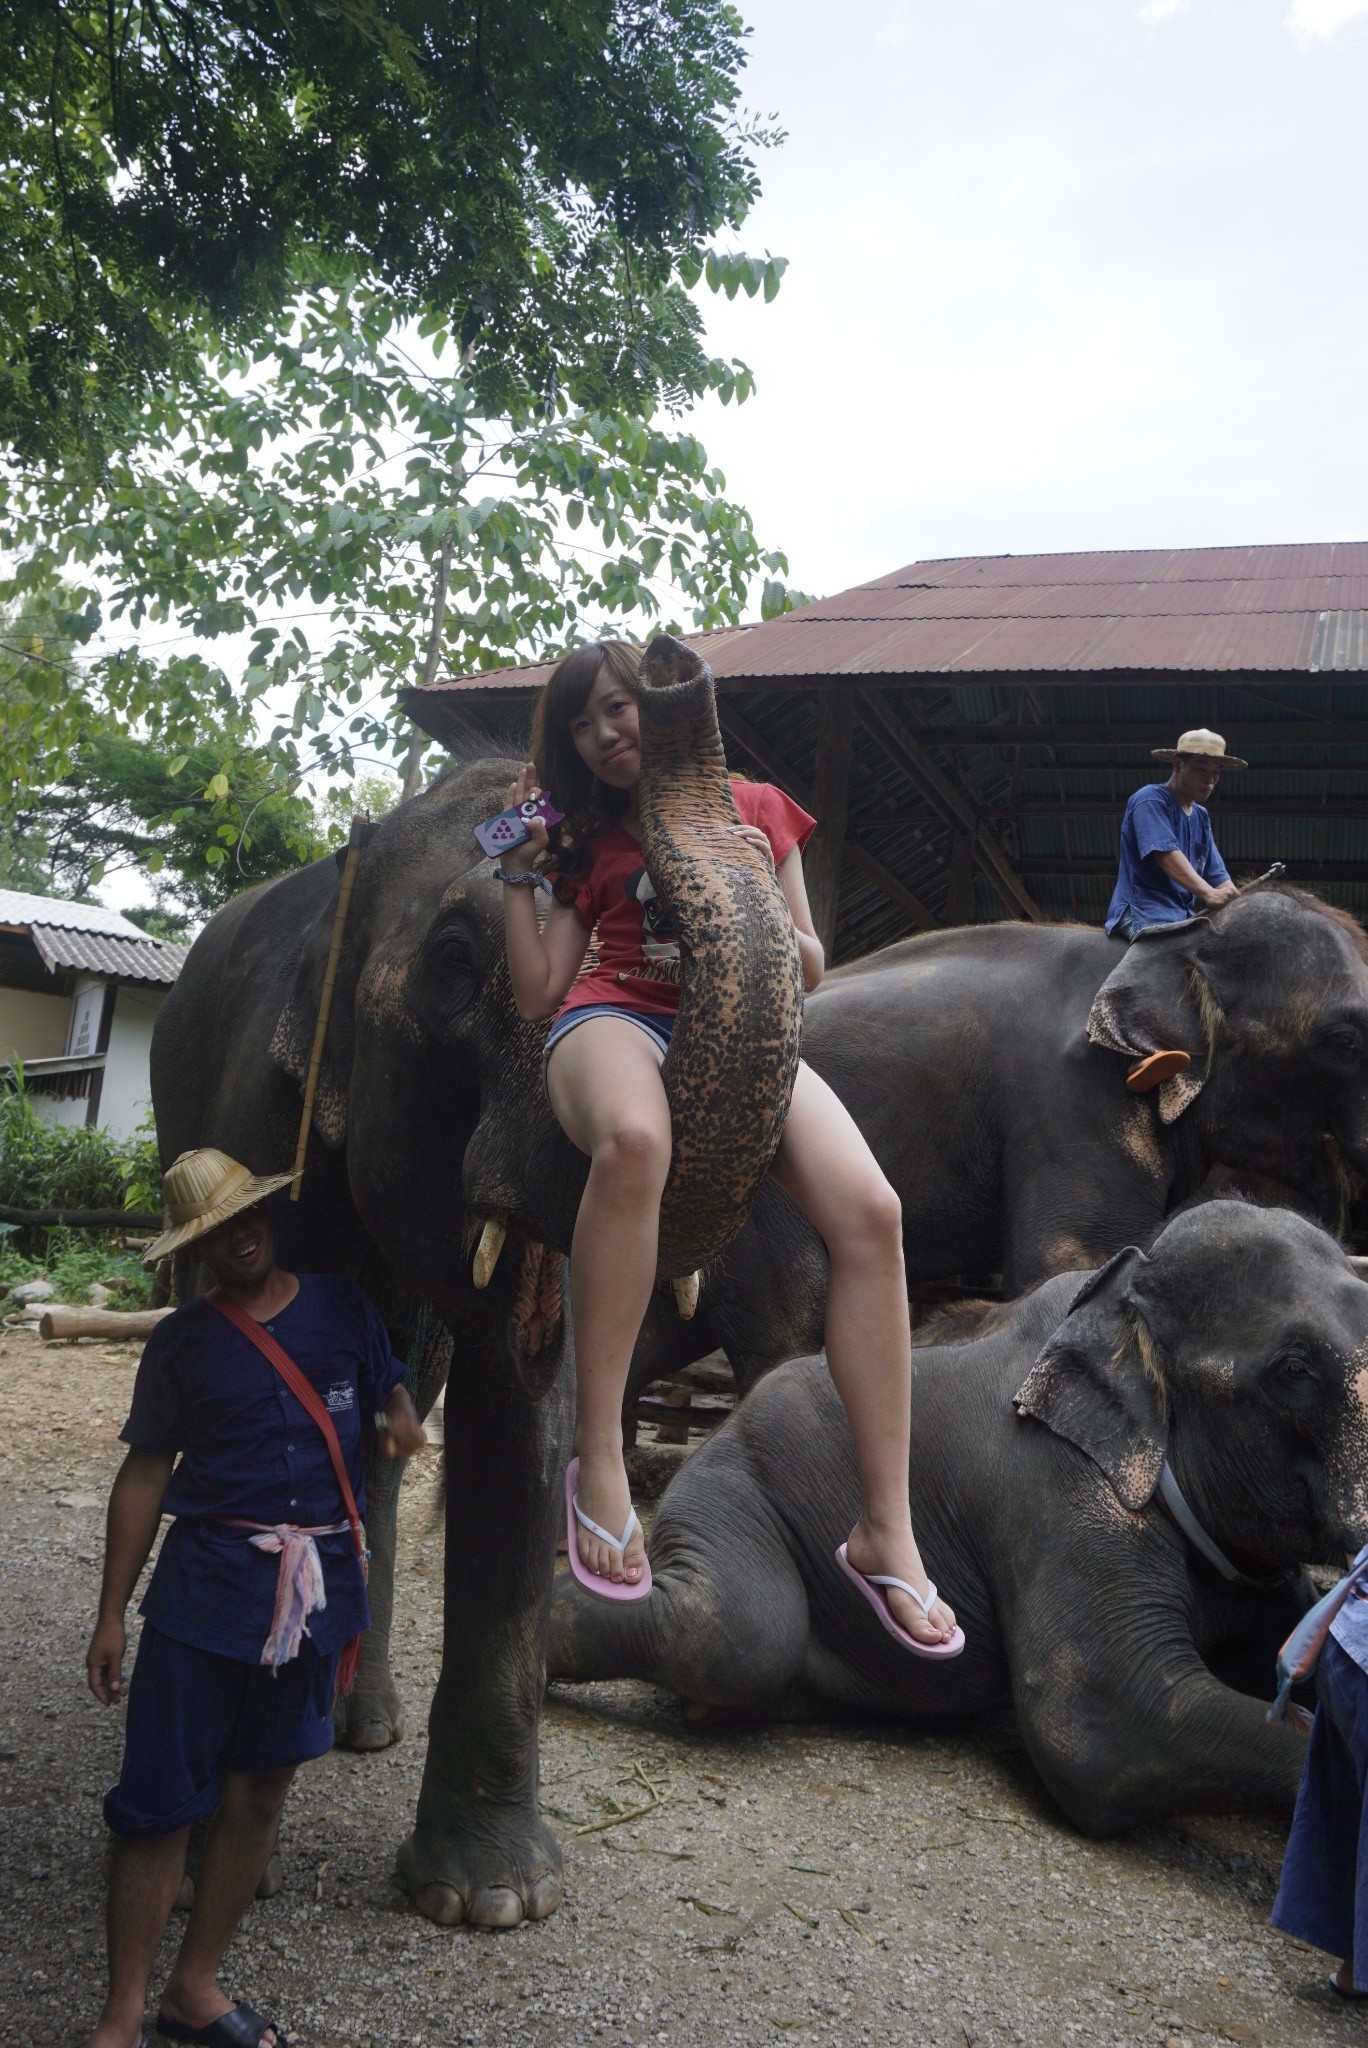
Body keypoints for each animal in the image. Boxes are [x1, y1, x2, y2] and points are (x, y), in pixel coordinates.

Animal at [152, 634, 802, 1916]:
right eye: (454, 965)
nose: (670, 665)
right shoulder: (257, 1117)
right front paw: (210, 1871)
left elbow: (519, 1411)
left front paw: (491, 1901)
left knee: (391, 1420)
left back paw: (360, 1724)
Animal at [548, 1196, 1368, 1835]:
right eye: (1293, 1371)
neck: (1122, 1288)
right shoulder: (1054, 1486)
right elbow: (1101, 1724)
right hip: (729, 1485)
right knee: (733, 1632)